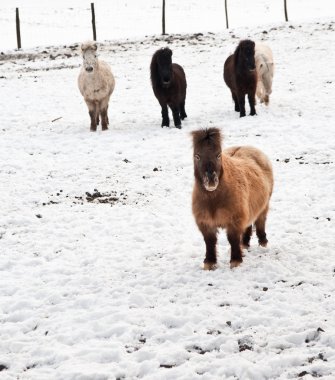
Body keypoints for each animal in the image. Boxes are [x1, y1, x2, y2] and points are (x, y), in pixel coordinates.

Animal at [193, 128, 274, 270]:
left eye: (218, 155)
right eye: (197, 156)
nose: (211, 181)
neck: (213, 200)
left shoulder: (234, 221)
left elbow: (233, 239)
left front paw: (236, 262)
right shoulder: (205, 223)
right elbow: (209, 242)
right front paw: (209, 263)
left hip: (264, 206)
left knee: (260, 223)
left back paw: (263, 244)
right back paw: (245, 245)